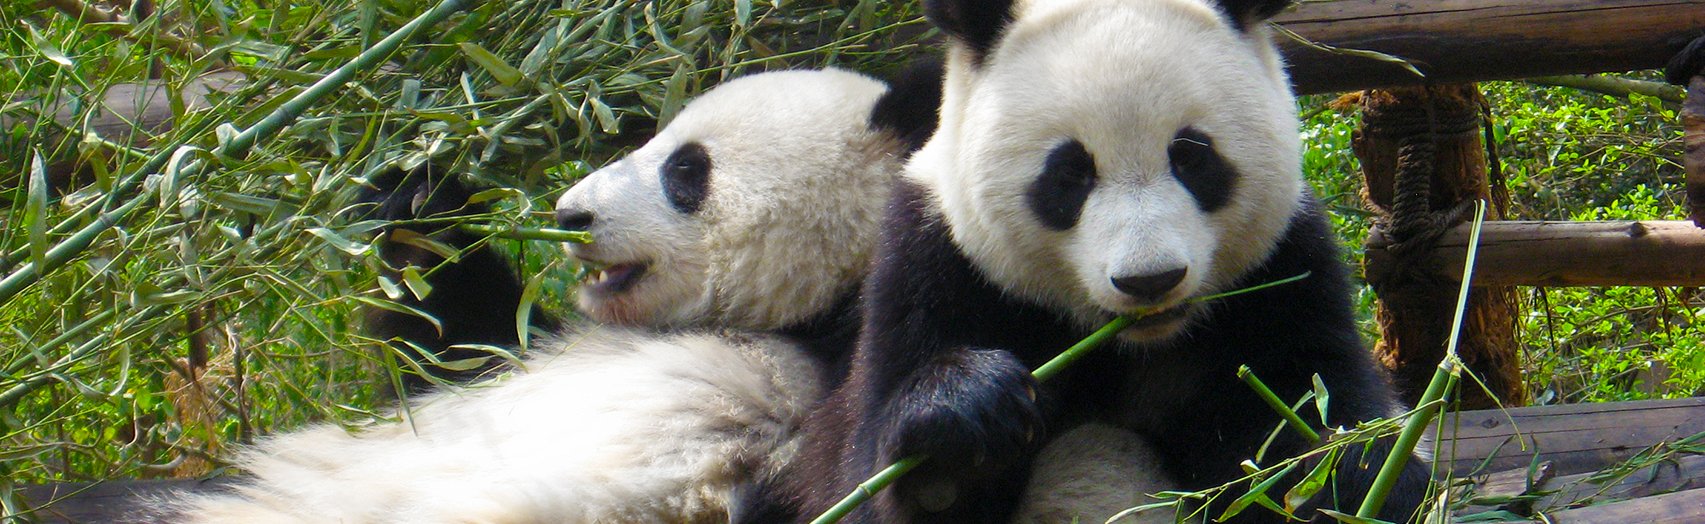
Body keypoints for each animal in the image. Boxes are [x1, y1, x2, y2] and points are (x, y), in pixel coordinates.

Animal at [154, 66, 940, 523]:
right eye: (652, 140)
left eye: (687, 171)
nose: (569, 215)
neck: (801, 316)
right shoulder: (525, 348)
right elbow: (456, 349)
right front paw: (418, 205)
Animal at [761, 0, 1435, 522]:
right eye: (1069, 174)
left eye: (1192, 157)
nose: (1151, 280)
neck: (1132, 344)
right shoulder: (933, 266)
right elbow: (857, 480)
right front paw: (961, 423)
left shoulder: (1284, 274)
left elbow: (1311, 406)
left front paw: (1351, 470)